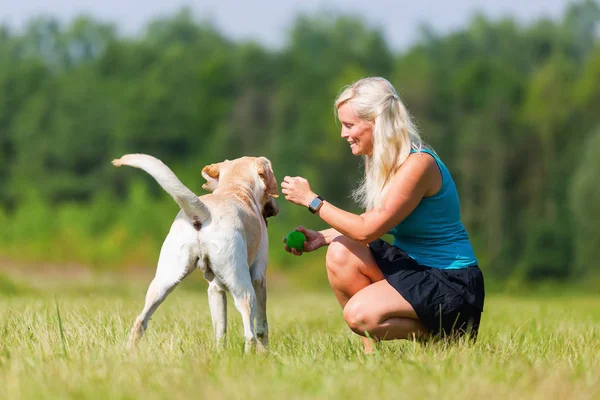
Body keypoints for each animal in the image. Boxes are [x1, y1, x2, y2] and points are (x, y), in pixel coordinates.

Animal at [112, 152, 278, 350]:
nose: (275, 208)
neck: (235, 187)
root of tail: (205, 213)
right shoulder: (259, 278)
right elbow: (262, 326)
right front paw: (265, 352)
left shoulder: (215, 289)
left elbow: (220, 332)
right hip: (242, 286)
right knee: (250, 332)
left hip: (162, 281)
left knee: (140, 321)